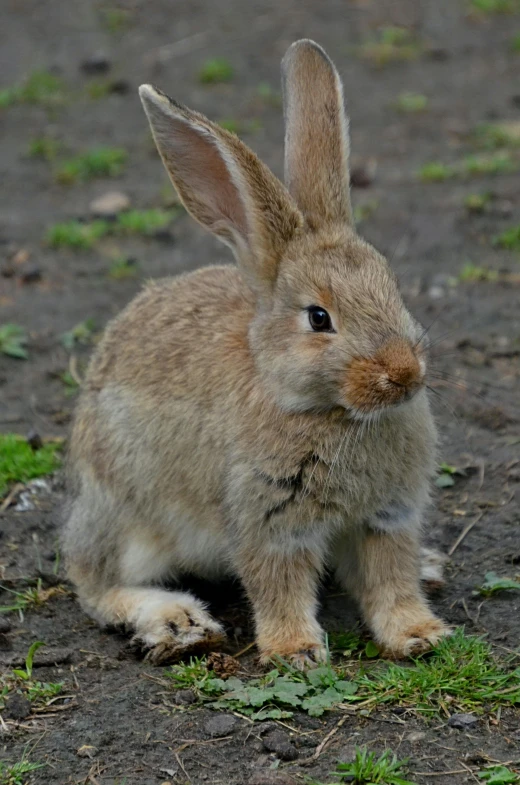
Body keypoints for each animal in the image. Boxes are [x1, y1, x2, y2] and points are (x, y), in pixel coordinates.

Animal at [63, 39, 448, 668]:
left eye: (392, 288)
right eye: (319, 318)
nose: (404, 374)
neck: (328, 412)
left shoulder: (387, 518)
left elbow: (391, 580)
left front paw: (418, 634)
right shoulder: (267, 519)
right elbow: (279, 585)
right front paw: (296, 651)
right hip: (125, 514)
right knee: (95, 583)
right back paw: (177, 622)